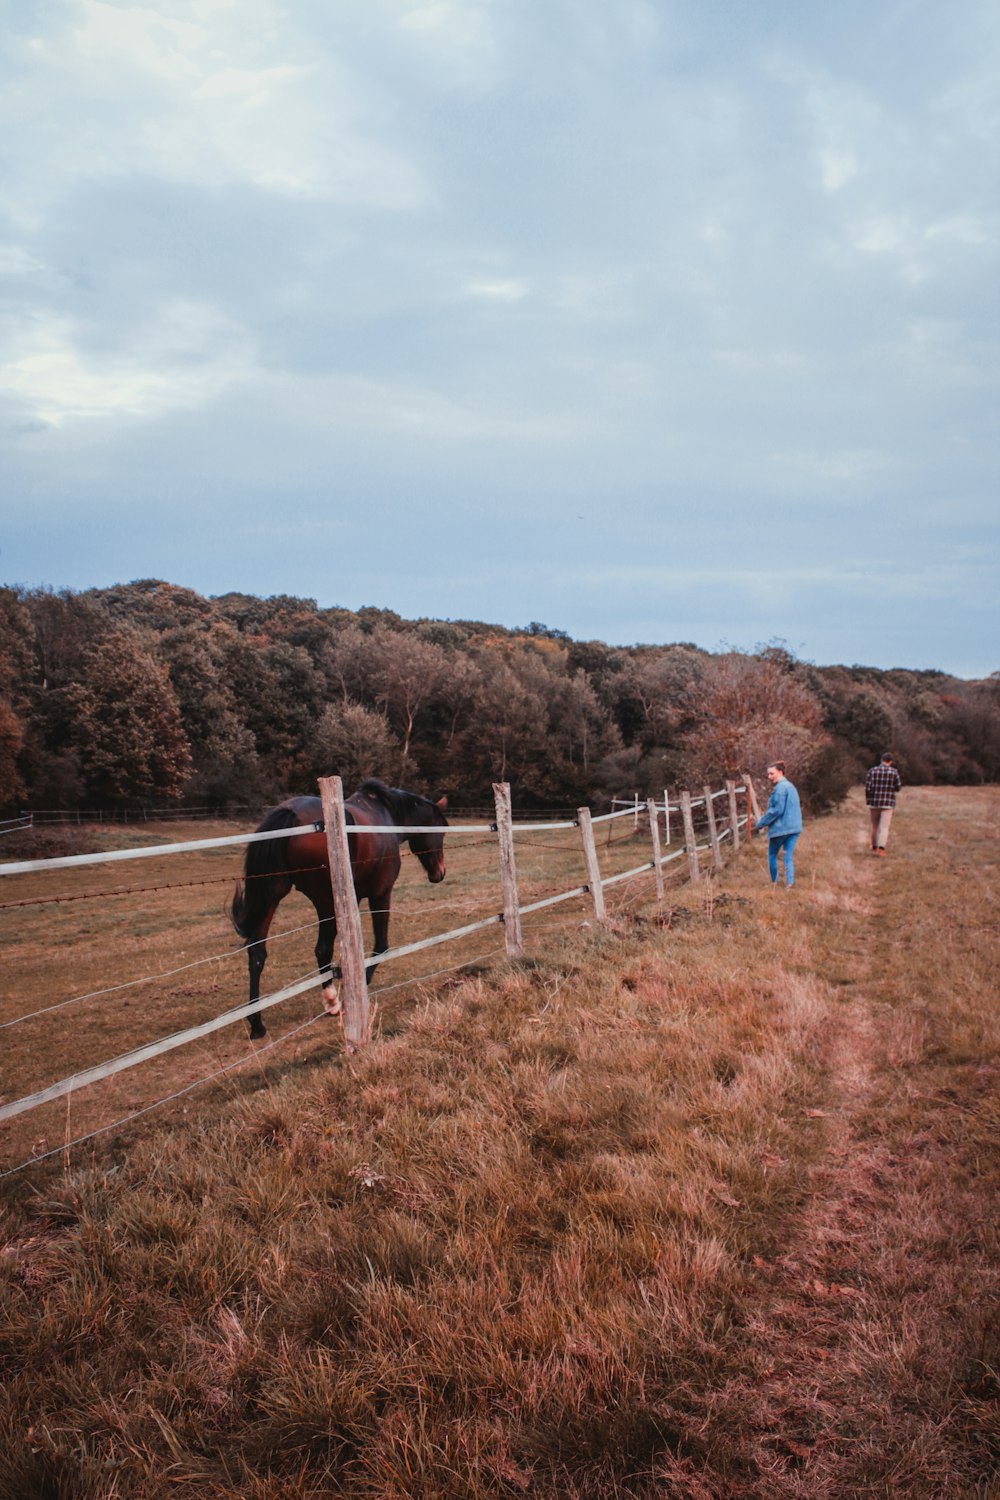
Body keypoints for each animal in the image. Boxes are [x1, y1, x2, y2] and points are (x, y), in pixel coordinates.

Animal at [229, 780, 446, 1038]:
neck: (387, 817)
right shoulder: (381, 894)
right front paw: (360, 984)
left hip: (273, 895)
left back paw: (257, 1023)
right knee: (322, 949)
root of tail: (291, 814)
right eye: (441, 831)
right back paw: (332, 1003)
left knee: (257, 952)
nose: (440, 873)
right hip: (324, 902)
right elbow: (381, 945)